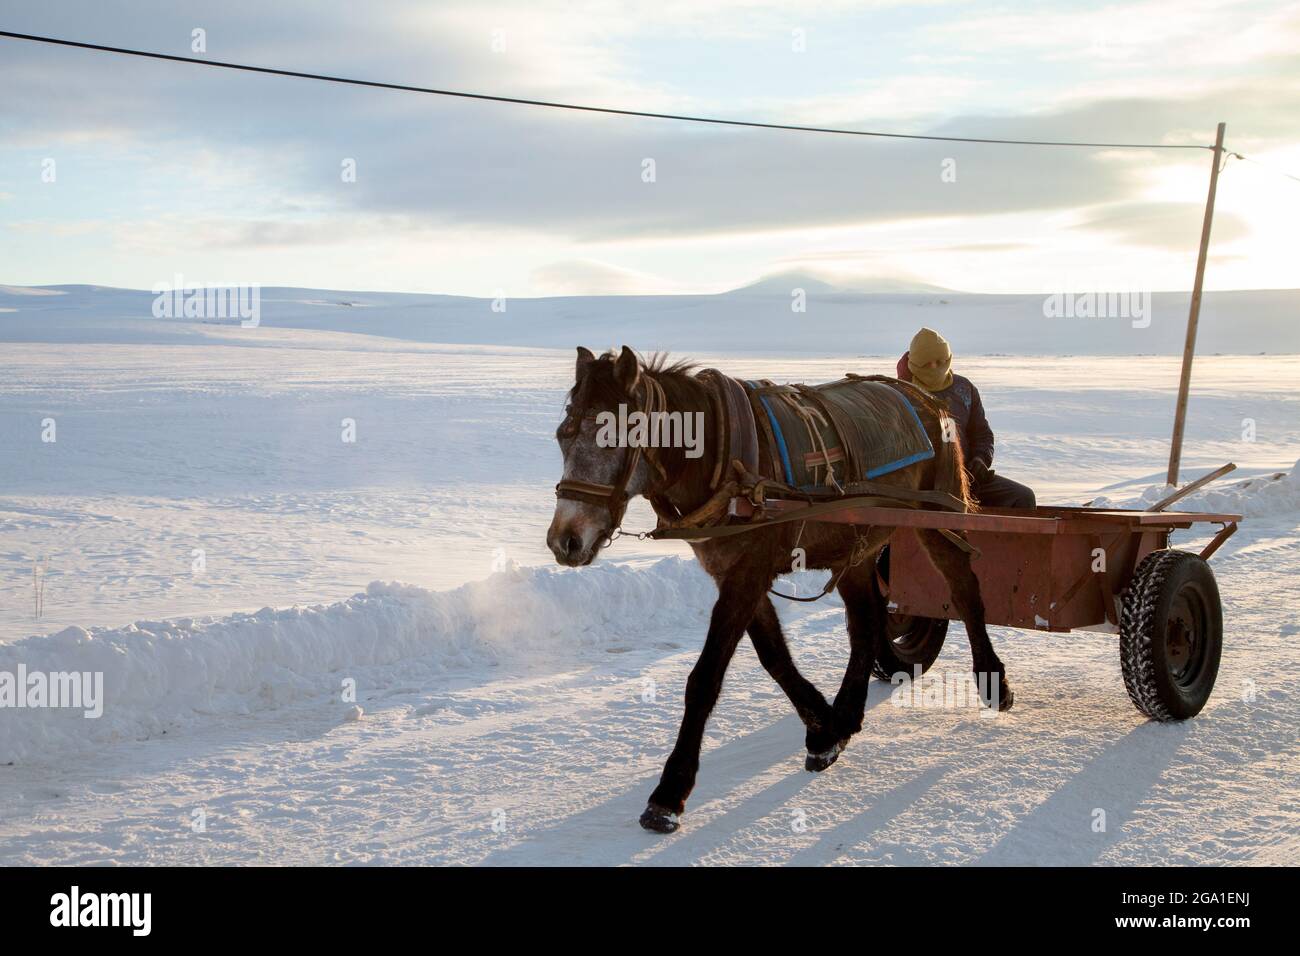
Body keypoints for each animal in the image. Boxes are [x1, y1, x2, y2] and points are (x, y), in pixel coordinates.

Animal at [547, 346, 1013, 834]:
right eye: (563, 436)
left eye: (612, 439)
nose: (565, 541)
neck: (720, 458)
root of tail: (928, 400)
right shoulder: (734, 572)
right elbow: (775, 657)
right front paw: (825, 731)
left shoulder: (748, 571)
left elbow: (705, 678)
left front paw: (669, 793)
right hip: (857, 547)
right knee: (866, 623)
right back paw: (848, 713)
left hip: (938, 517)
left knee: (963, 588)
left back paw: (993, 680)